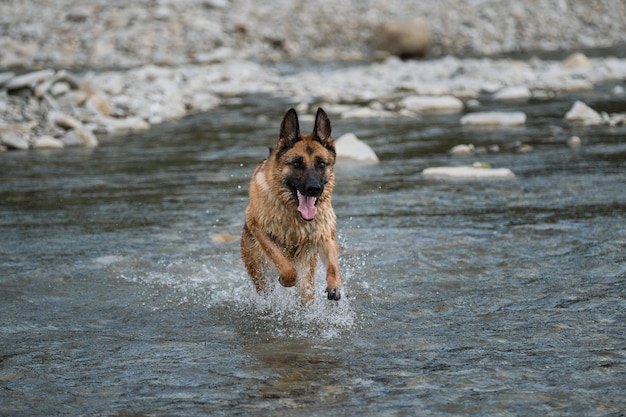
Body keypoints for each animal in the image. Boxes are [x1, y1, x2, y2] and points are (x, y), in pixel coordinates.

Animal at [241, 107, 344, 302]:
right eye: (297, 163)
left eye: (321, 163)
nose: (314, 189)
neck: (294, 214)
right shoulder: (258, 228)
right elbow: (284, 264)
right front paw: (286, 279)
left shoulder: (324, 235)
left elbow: (333, 264)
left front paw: (335, 285)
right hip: (258, 273)